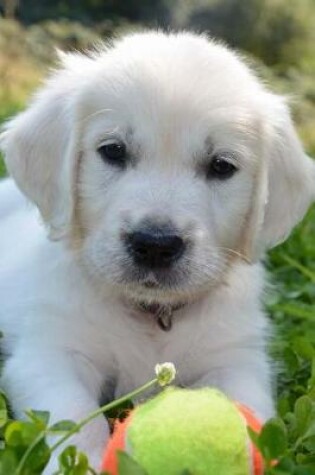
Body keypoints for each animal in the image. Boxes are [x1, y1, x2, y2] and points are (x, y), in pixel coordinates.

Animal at [0, 31, 315, 470]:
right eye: (113, 150)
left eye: (222, 166)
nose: (154, 244)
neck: (154, 315)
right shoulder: (50, 351)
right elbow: (76, 416)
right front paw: (84, 463)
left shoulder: (236, 359)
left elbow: (242, 410)